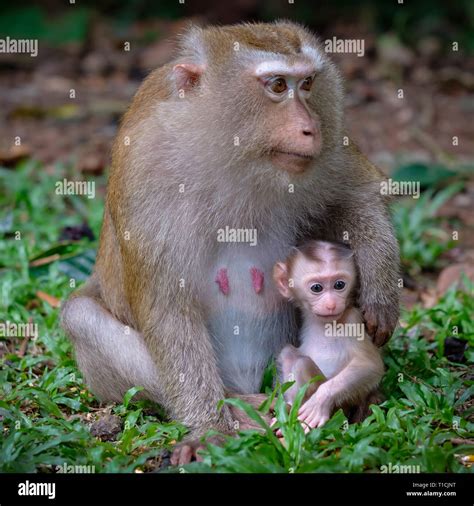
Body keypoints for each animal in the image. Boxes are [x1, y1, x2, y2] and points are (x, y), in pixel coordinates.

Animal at [272, 241, 384, 430]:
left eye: (339, 285)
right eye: (317, 288)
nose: (331, 304)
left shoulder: (352, 319)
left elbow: (369, 364)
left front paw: (320, 401)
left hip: (343, 405)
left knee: (302, 363)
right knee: (289, 355)